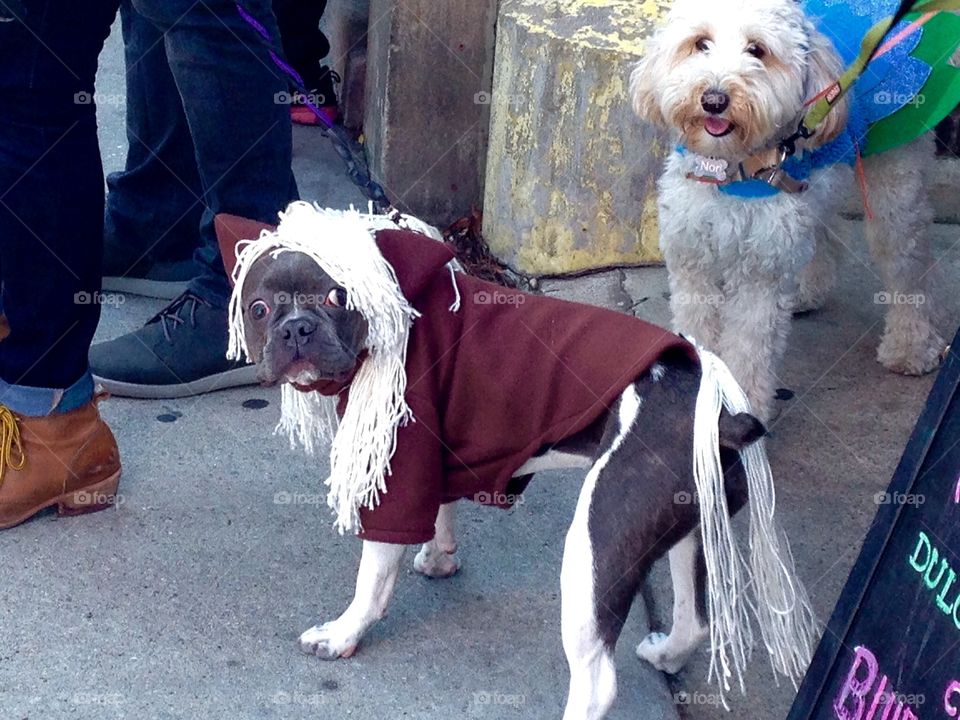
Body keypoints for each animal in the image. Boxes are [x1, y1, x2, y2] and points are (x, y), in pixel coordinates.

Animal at [632, 0, 944, 420]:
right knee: (826, 232)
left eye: (757, 50)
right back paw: (807, 293)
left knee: (907, 263)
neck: (731, 170)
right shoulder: (692, 261)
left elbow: (749, 350)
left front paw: (740, 414)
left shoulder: (760, 275)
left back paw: (911, 347)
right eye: (700, 44)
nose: (714, 100)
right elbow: (699, 331)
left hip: (895, 177)